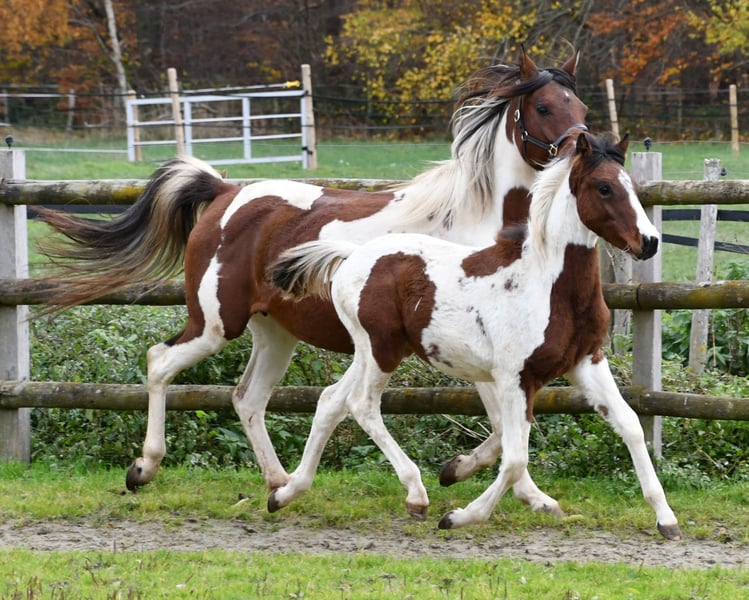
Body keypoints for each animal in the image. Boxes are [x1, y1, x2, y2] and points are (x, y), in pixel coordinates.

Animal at [34, 47, 587, 510]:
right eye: (543, 107)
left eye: (580, 104)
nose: (581, 151)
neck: (471, 225)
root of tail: (224, 192)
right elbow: (501, 423)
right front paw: (465, 479)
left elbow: (503, 426)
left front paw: (507, 488)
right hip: (215, 323)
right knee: (159, 362)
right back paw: (144, 468)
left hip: (275, 333)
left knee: (246, 398)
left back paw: (278, 482)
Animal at [268, 131, 681, 540]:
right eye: (604, 187)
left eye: (633, 187)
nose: (649, 242)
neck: (547, 285)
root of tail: (353, 255)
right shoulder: (516, 378)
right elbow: (515, 458)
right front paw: (459, 516)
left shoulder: (585, 362)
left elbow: (630, 425)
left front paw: (666, 519)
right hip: (381, 350)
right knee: (362, 405)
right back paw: (415, 495)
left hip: (372, 351)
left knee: (331, 400)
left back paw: (285, 492)